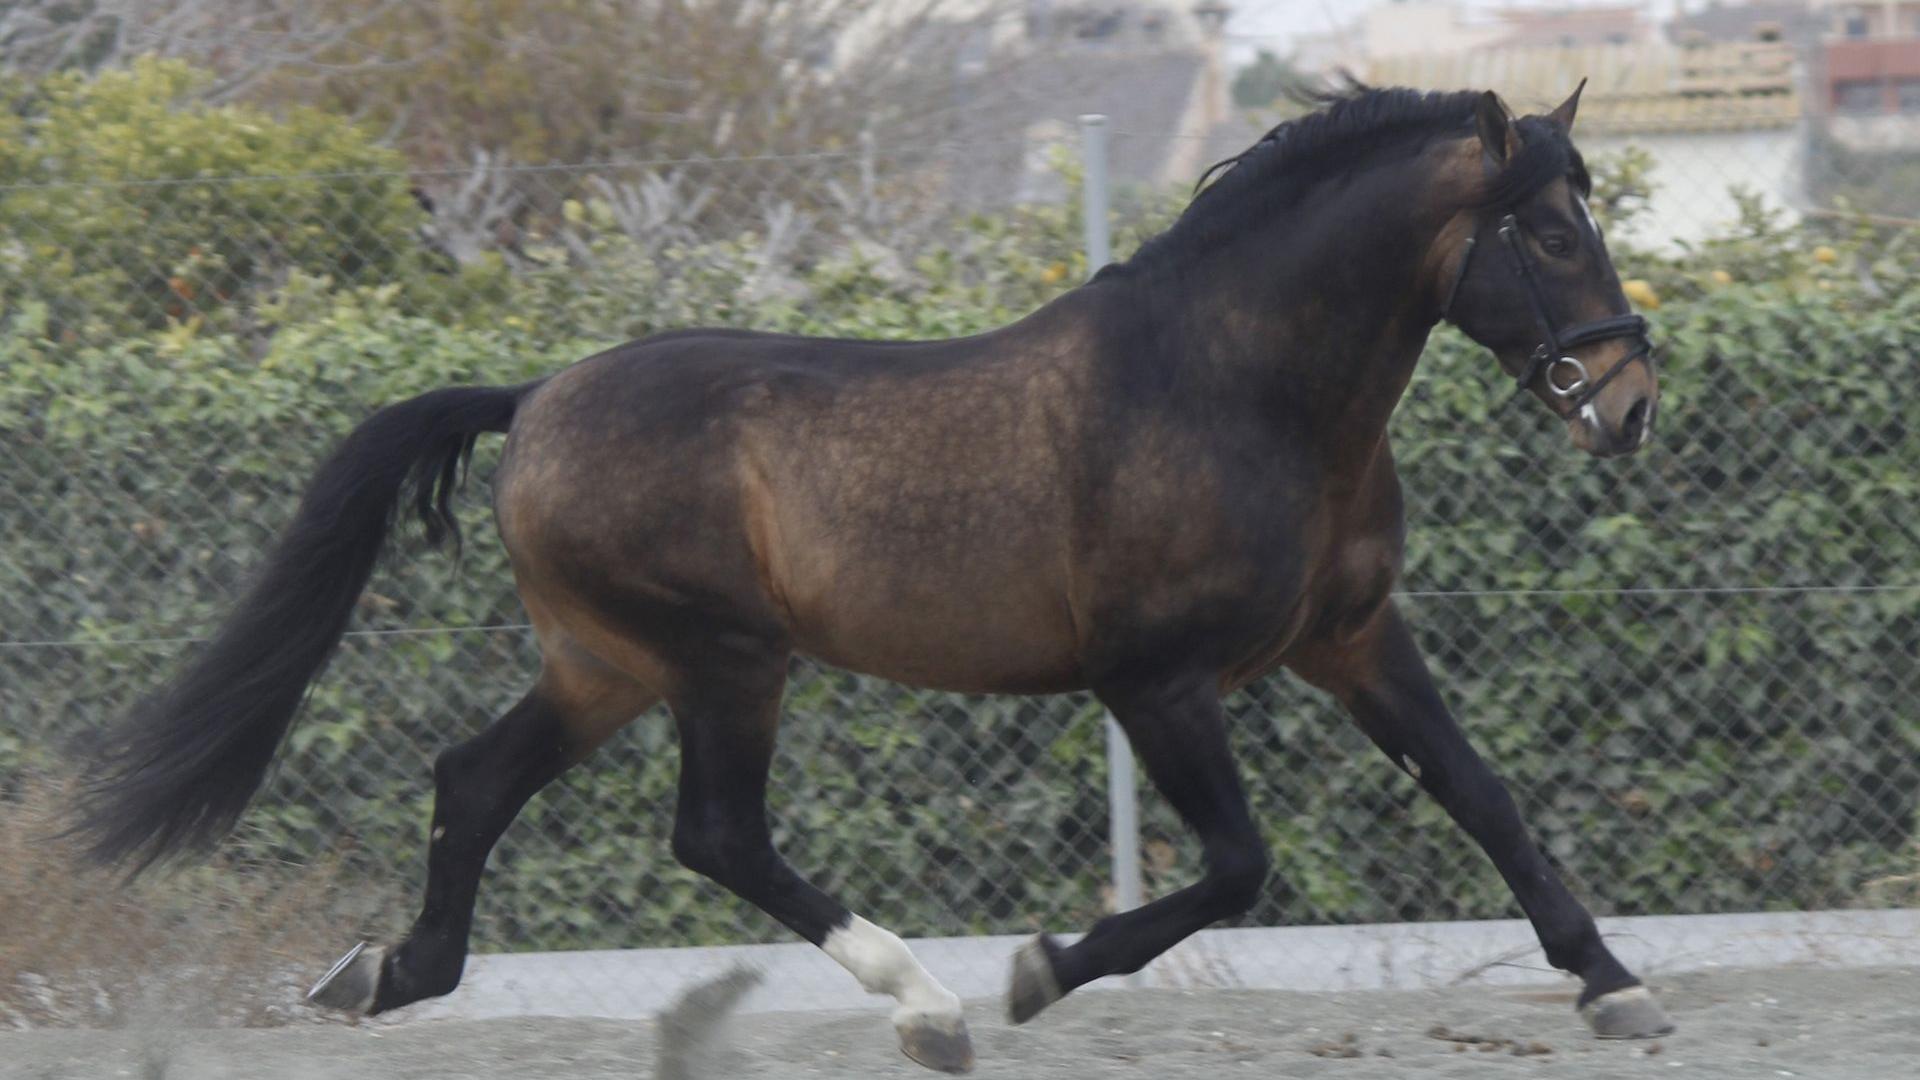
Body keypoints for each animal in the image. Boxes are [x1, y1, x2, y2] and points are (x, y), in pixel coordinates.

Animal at [74, 84, 1667, 1073]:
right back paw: (930, 1010)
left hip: (609, 665)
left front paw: (1616, 986)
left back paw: (386, 976)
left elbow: (1481, 794)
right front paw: (1038, 973)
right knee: (717, 833)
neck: (1236, 388)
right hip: (723, 658)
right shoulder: (1155, 681)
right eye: (1546, 230)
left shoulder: (1353, 638)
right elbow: (1236, 866)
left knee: (475, 782)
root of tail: (534, 398)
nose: (1629, 403)